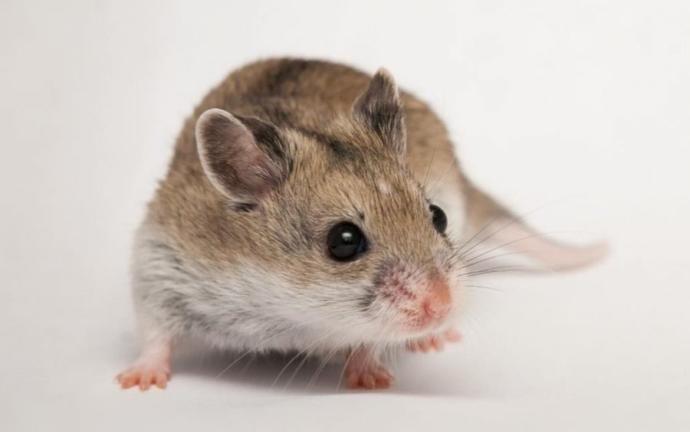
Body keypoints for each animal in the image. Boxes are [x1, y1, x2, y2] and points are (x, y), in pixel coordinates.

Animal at [117, 58, 607, 390]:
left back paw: (431, 341)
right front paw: (137, 382)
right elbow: (155, 334)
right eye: (344, 241)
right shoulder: (159, 266)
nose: (444, 305)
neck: (284, 307)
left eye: (438, 217)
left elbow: (368, 341)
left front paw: (372, 380)